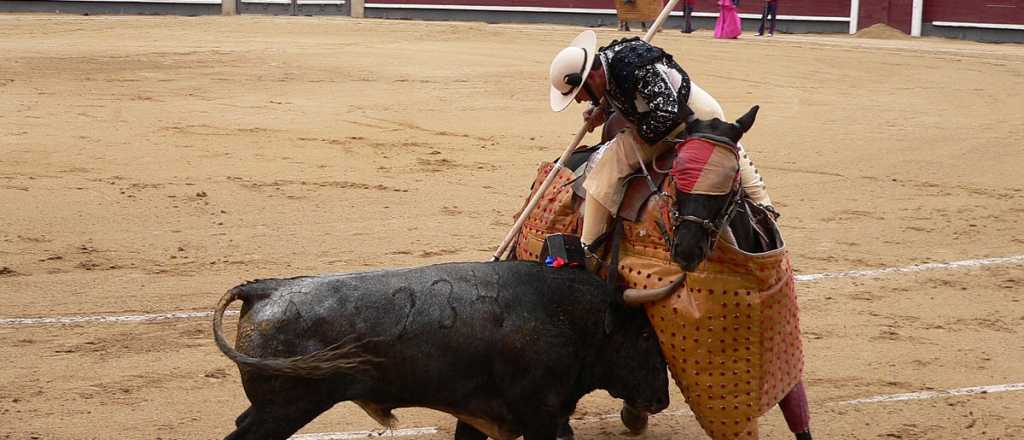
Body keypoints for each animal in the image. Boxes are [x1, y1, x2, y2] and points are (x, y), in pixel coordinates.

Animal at [211, 260, 667, 440]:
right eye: (645, 338)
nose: (662, 400)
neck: (566, 315)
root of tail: (264, 289)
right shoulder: (540, 414)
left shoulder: (477, 412)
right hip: (285, 408)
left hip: (274, 408)